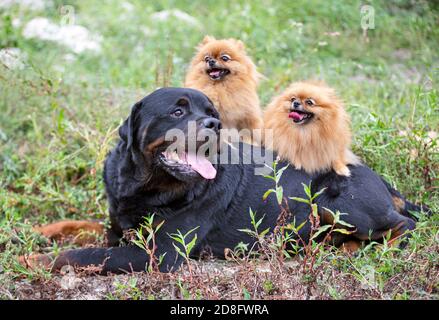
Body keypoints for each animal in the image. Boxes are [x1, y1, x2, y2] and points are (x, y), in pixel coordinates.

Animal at [51, 87, 426, 272]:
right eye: (177, 111)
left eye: (212, 114)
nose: (213, 124)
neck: (146, 186)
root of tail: (383, 182)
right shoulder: (119, 227)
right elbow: (76, 227)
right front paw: (39, 235)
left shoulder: (162, 252)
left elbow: (82, 254)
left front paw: (41, 260)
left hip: (337, 200)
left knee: (404, 225)